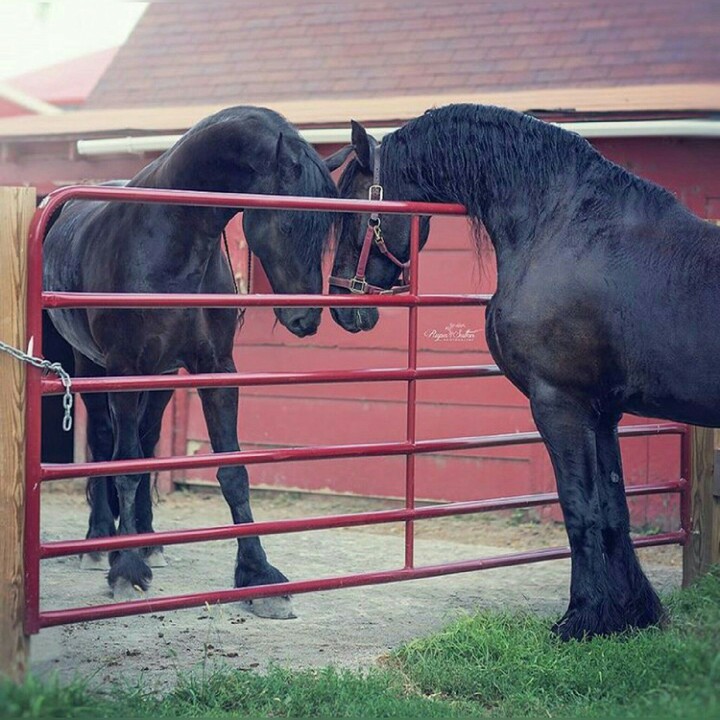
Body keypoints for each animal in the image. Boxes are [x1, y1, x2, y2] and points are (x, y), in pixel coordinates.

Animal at [44, 106, 338, 617]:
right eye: (287, 224)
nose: (306, 318)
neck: (170, 236)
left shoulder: (214, 367)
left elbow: (232, 472)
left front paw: (258, 576)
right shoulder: (124, 369)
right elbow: (124, 464)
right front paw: (125, 571)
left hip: (161, 377)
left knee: (146, 441)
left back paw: (147, 541)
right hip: (91, 367)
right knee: (103, 444)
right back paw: (101, 542)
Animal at [326, 103, 720, 640]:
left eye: (352, 209)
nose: (341, 305)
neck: (564, 228)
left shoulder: (559, 403)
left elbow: (578, 506)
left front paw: (580, 618)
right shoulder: (603, 412)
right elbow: (613, 509)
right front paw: (629, 614)